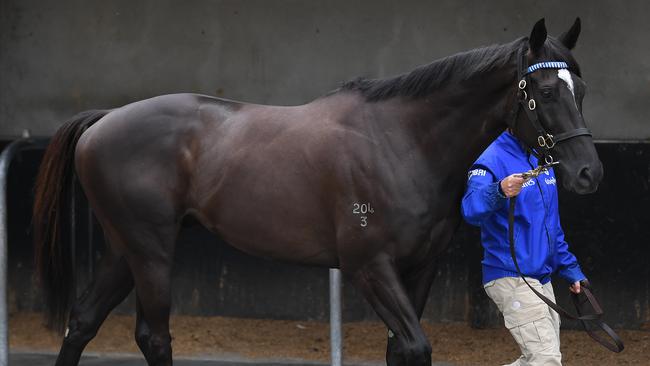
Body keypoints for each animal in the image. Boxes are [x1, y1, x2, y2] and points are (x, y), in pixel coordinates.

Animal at [31, 19, 596, 366]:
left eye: (582, 90)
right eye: (547, 92)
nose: (589, 172)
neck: (402, 141)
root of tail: (104, 120)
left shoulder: (420, 268)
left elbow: (401, 350)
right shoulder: (369, 267)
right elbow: (415, 347)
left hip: (125, 247)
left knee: (82, 322)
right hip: (150, 250)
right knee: (152, 335)